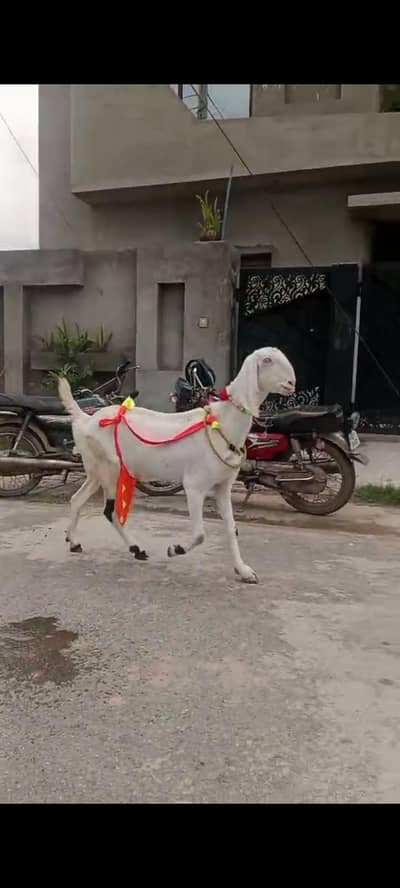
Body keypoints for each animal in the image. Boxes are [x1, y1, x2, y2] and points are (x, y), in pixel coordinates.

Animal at [58, 347, 296, 583]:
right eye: (267, 360)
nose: (291, 383)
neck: (222, 422)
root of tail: (85, 419)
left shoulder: (222, 487)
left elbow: (231, 529)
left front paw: (244, 571)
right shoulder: (194, 485)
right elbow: (200, 534)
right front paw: (175, 549)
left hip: (96, 470)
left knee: (77, 499)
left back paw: (78, 542)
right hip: (111, 469)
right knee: (110, 511)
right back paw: (134, 547)